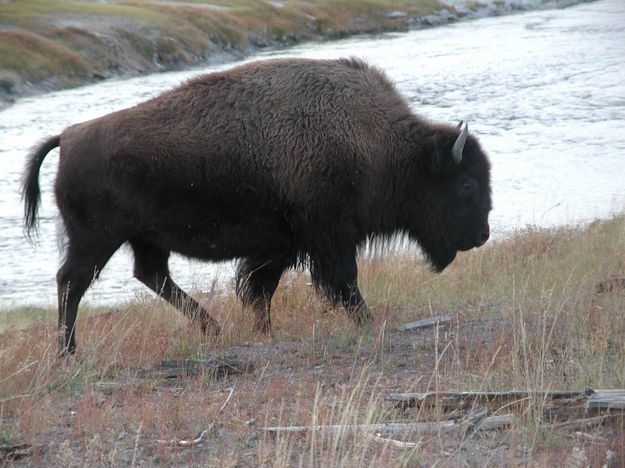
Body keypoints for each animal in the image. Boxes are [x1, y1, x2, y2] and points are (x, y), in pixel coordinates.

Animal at [23, 56, 492, 352]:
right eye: (467, 185)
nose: (482, 234)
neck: (376, 143)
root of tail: (68, 136)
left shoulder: (281, 245)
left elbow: (259, 289)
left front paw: (263, 333)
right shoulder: (327, 236)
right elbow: (342, 282)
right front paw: (367, 322)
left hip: (143, 239)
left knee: (150, 275)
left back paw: (212, 328)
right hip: (96, 240)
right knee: (72, 282)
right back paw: (68, 352)